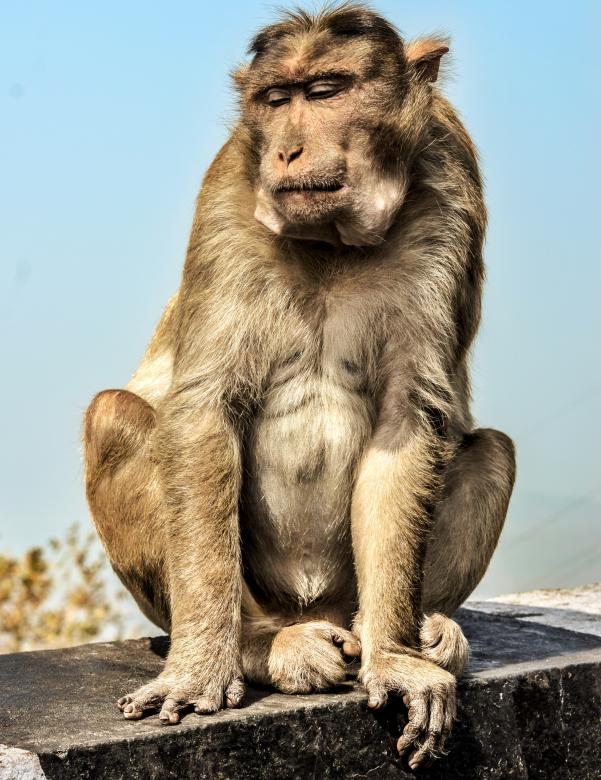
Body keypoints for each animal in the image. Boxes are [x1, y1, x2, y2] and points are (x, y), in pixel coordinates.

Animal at [83, 4, 516, 770]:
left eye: (325, 91)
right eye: (276, 99)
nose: (285, 151)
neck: (334, 241)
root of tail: (311, 610)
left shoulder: (449, 180)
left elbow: (412, 417)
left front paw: (396, 659)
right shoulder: (230, 186)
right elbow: (203, 407)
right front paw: (199, 668)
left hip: (346, 595)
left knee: (491, 448)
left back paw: (425, 635)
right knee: (114, 414)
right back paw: (262, 647)